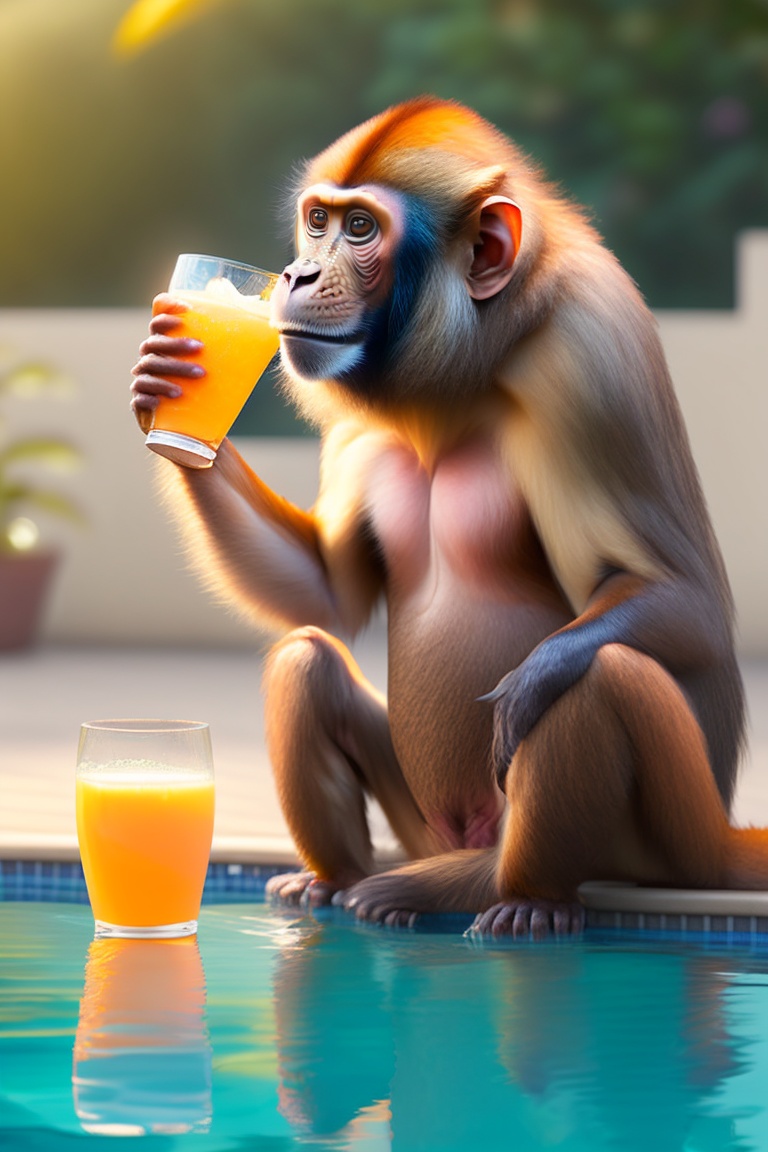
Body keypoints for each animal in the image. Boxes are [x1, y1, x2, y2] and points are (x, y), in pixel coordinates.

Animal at [131, 96, 764, 939]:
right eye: (318, 221)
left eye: (360, 229)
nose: (296, 273)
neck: (473, 357)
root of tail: (722, 842)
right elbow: (327, 593)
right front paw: (174, 400)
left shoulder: (588, 364)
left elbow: (681, 598)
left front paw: (537, 675)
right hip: (421, 823)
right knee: (306, 658)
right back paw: (340, 879)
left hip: (670, 842)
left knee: (592, 677)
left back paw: (510, 892)